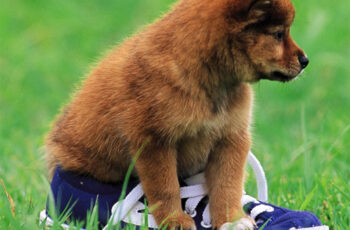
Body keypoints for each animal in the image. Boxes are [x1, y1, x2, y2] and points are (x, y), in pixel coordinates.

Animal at [45, 0, 308, 228]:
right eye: (278, 34)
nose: (305, 60)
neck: (208, 80)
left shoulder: (231, 138)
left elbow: (227, 185)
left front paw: (232, 220)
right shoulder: (155, 142)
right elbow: (166, 188)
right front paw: (174, 221)